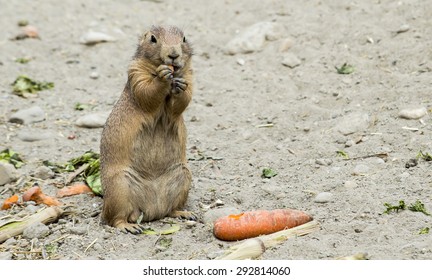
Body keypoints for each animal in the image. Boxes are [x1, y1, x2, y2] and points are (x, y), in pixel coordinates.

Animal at [99, 25, 194, 234]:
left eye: (184, 38)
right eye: (153, 39)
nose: (173, 54)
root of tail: (152, 211)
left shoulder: (191, 76)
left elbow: (184, 99)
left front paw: (180, 87)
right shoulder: (136, 72)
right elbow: (146, 91)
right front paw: (162, 76)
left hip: (183, 178)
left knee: (170, 209)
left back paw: (184, 213)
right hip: (119, 188)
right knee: (113, 219)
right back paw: (129, 227)